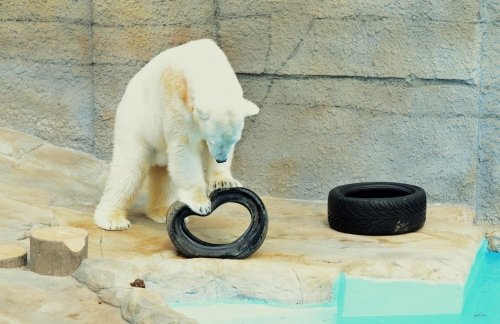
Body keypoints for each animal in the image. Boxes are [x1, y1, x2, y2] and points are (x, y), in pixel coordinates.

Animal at [94, 38, 260, 230]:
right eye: (212, 139)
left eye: (235, 140)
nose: (220, 159)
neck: (206, 65)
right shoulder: (176, 100)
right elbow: (184, 149)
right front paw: (201, 203)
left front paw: (225, 181)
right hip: (135, 124)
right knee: (129, 168)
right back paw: (112, 220)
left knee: (165, 174)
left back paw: (161, 212)